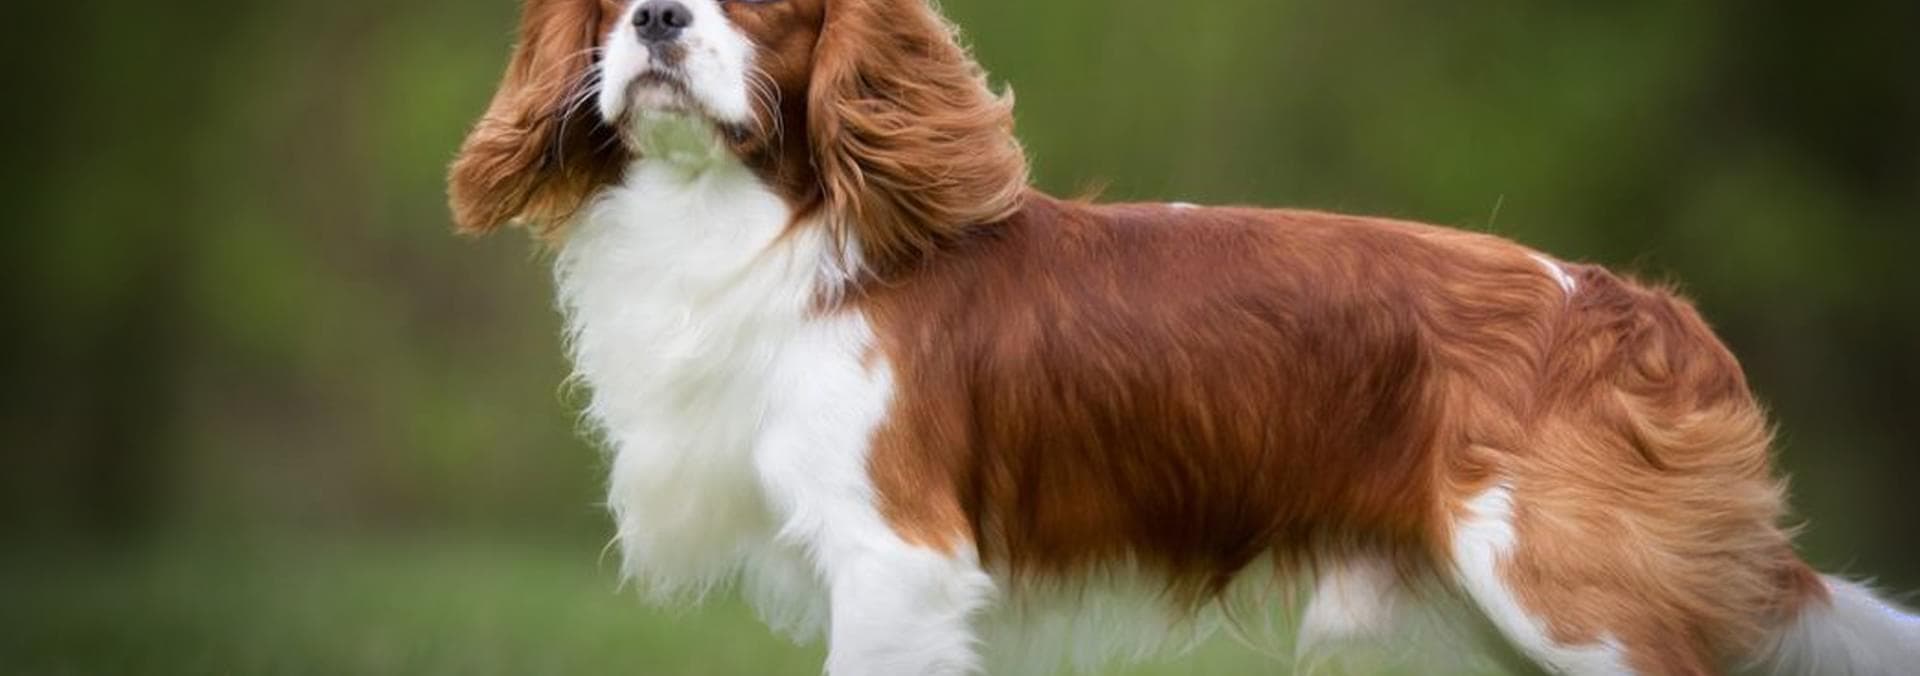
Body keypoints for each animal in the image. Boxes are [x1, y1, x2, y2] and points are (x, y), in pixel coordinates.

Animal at [447, 1, 1919, 673]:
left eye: (772, 2)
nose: (657, 15)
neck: (762, 225)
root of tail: (1645, 313)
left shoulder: (896, 562)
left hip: (1572, 600)